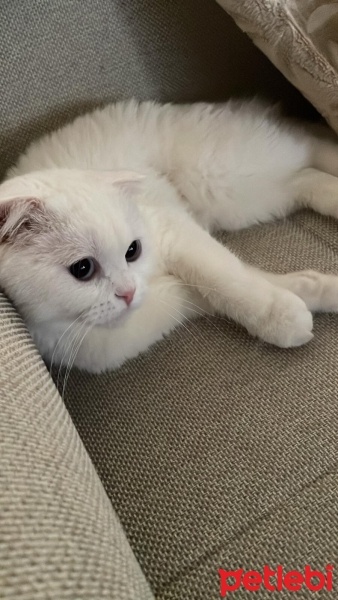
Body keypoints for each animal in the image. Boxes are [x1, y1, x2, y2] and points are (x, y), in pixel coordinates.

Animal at [0, 98, 338, 370]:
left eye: (132, 250)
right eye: (82, 269)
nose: (128, 292)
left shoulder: (172, 231)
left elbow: (225, 279)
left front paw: (279, 315)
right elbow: (227, 287)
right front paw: (317, 292)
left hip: (222, 173)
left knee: (309, 143)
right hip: (249, 196)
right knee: (306, 177)